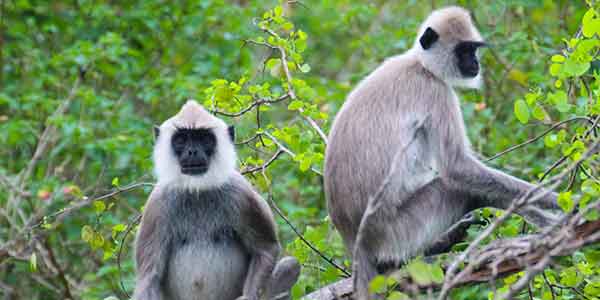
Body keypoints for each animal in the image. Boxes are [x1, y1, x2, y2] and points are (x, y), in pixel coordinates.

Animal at [132, 101, 298, 300]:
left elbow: (265, 249)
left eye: (204, 139)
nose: (192, 151)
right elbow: (150, 276)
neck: (198, 190)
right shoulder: (157, 203)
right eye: (181, 140)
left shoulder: (241, 193)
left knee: (291, 265)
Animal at [324, 5, 564, 298]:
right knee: (461, 189)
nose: (475, 64)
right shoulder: (436, 91)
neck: (421, 65)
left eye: (474, 49)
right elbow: (457, 167)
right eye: (463, 51)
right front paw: (563, 201)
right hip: (397, 231)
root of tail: (354, 240)